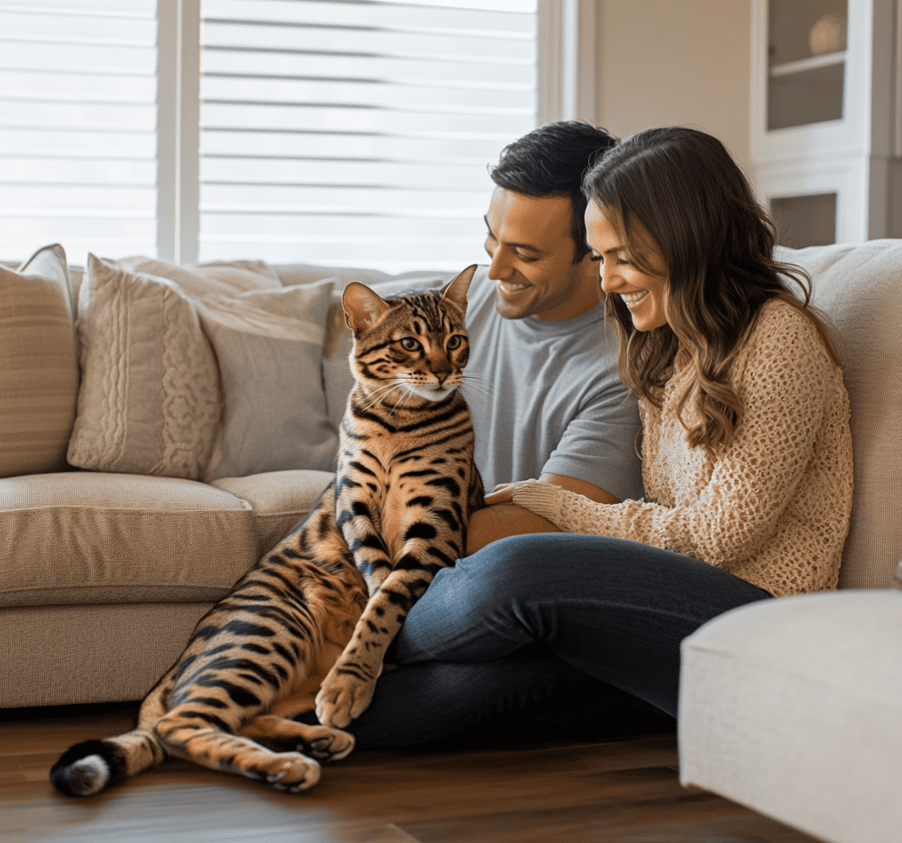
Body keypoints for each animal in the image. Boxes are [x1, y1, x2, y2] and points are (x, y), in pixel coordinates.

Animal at [52, 266, 484, 796]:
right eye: (409, 343)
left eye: (455, 340)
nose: (445, 373)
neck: (397, 421)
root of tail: (169, 673)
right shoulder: (354, 508)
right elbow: (381, 584)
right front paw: (357, 674)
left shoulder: (436, 525)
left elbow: (386, 597)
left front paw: (354, 673)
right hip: (272, 630)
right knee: (180, 725)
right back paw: (291, 761)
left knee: (227, 719)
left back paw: (313, 742)